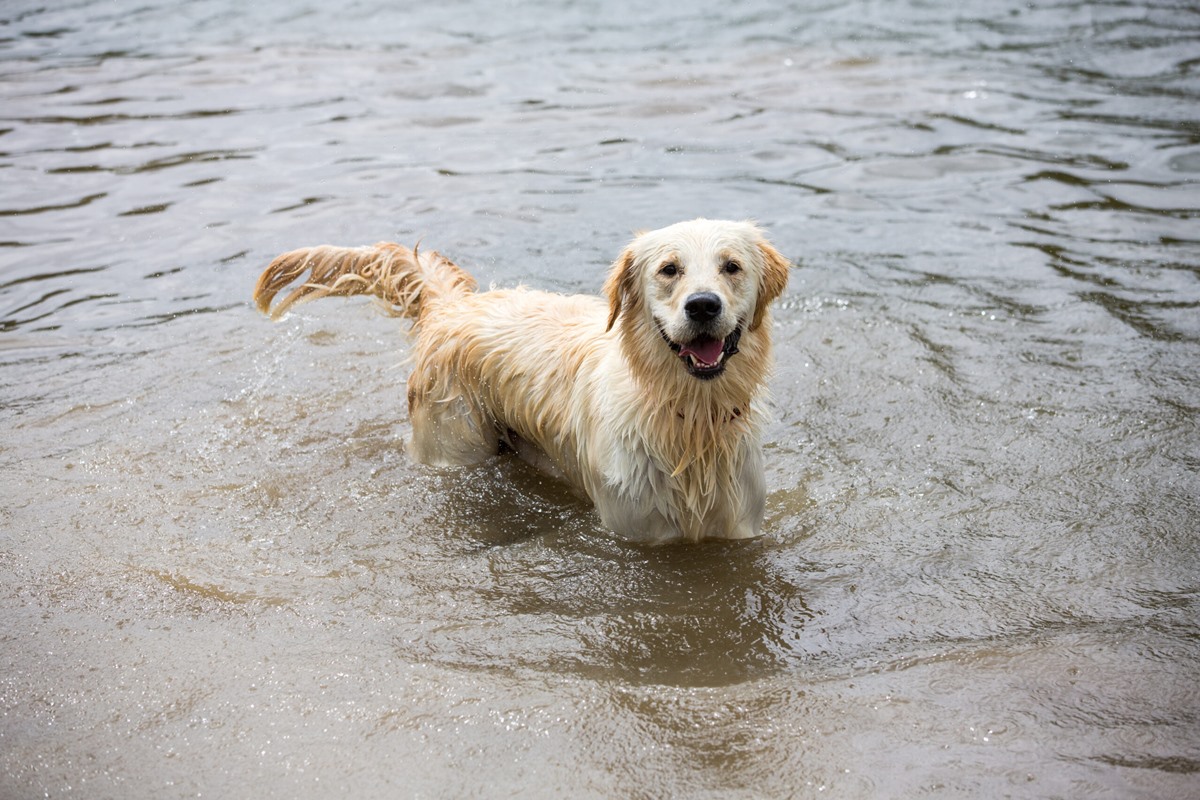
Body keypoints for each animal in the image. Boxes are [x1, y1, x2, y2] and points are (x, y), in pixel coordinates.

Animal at [255, 220, 787, 544]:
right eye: (669, 269)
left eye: (731, 267)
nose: (703, 305)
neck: (692, 419)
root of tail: (453, 306)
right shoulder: (634, 527)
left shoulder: (737, 529)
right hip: (455, 445)